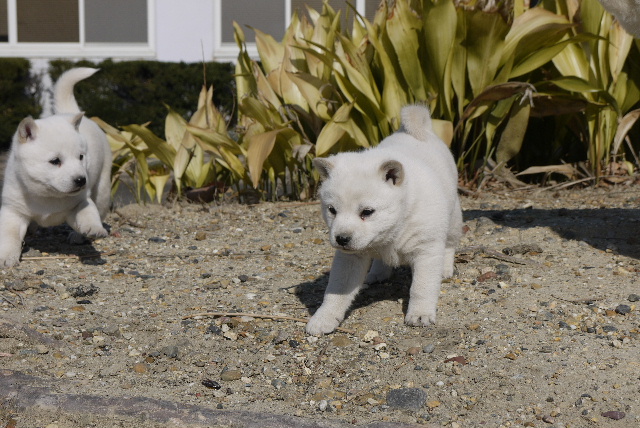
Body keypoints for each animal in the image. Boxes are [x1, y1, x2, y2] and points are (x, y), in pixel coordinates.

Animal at [0, 67, 111, 268]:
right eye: (55, 161)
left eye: (81, 157)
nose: (81, 180)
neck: (48, 196)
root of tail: (68, 112)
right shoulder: (13, 211)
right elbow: (9, 235)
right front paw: (6, 256)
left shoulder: (80, 202)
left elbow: (87, 212)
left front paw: (92, 228)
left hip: (103, 188)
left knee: (99, 207)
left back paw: (79, 236)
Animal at [304, 105, 460, 336]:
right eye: (332, 210)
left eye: (367, 212)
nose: (341, 238)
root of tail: (418, 130)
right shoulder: (349, 258)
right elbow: (336, 291)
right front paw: (323, 318)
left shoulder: (427, 250)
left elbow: (421, 287)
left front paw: (420, 314)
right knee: (380, 260)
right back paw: (378, 272)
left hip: (453, 217)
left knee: (450, 243)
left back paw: (446, 268)